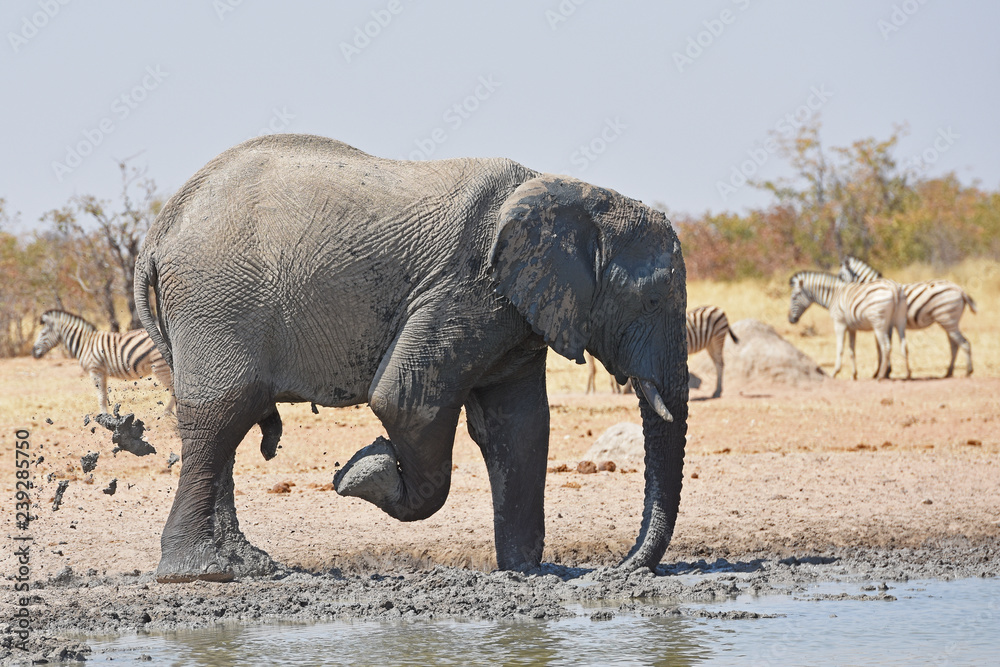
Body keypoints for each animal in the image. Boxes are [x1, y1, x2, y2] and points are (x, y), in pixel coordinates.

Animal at [134, 134, 689, 583]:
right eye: (654, 299)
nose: (618, 570)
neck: (570, 195)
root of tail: (158, 233)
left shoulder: (514, 309)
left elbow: (521, 425)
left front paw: (528, 573)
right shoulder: (465, 287)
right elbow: (403, 401)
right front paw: (363, 469)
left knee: (230, 420)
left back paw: (247, 566)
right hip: (218, 301)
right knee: (221, 415)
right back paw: (199, 572)